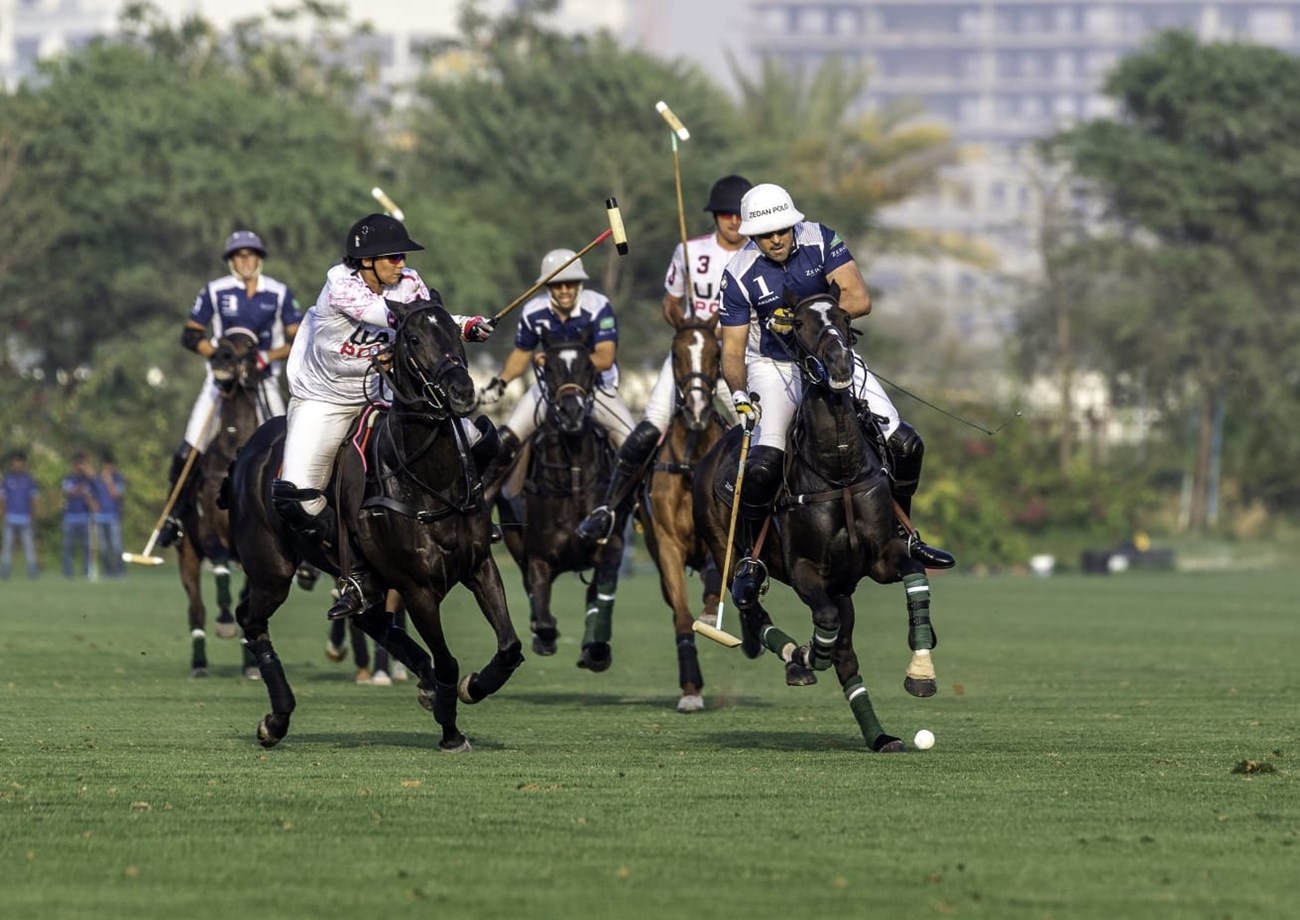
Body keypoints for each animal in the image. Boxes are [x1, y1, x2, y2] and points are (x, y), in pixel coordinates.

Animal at [224, 298, 522, 753]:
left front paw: (470, 688)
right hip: (270, 569)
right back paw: (276, 720)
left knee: (368, 617)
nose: (462, 392)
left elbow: (509, 646)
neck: (432, 482)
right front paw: (451, 733)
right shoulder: (419, 589)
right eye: (413, 338)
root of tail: (246, 449)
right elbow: (448, 662)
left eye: (455, 333)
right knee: (252, 619)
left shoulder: (480, 566)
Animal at [493, 327, 621, 670]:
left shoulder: (610, 546)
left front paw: (596, 650)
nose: (572, 411)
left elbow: (599, 592)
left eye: (589, 366)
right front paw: (543, 637)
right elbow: (544, 617)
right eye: (547, 368)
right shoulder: (537, 556)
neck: (573, 478)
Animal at [696, 292, 941, 753]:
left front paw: (921, 671)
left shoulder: (881, 558)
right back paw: (796, 655)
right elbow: (823, 623)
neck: (838, 469)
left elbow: (916, 575)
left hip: (842, 585)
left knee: (845, 656)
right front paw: (807, 653)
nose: (843, 365)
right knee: (751, 606)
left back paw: (880, 737)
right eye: (799, 324)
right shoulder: (805, 570)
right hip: (728, 553)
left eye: (843, 317)